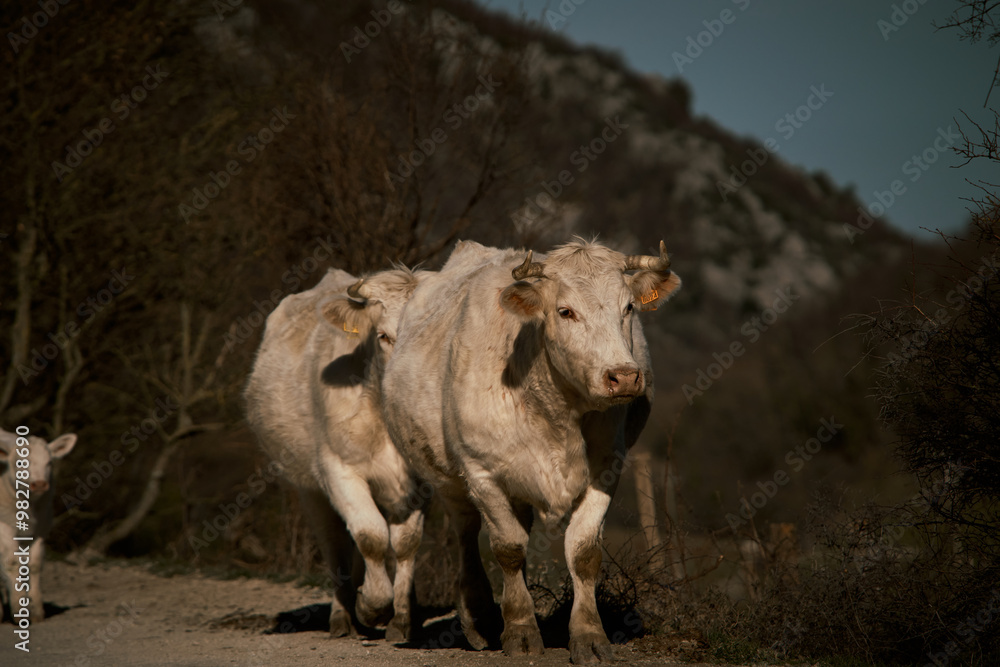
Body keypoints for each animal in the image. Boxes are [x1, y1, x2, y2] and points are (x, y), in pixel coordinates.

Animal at [0, 428, 77, 621]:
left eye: (49, 463)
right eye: (20, 462)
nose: (40, 484)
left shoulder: (41, 529)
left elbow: (34, 565)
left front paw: (35, 611)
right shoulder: (3, 526)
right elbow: (12, 562)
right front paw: (18, 610)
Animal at [244, 265, 431, 640]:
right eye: (384, 336)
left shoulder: (419, 481)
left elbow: (406, 542)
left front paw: (402, 619)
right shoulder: (339, 471)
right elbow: (371, 537)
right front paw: (372, 606)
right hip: (311, 489)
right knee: (337, 546)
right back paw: (342, 617)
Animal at [382, 238, 681, 663]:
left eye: (628, 308)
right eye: (565, 311)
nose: (623, 377)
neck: (556, 413)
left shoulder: (607, 468)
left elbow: (583, 551)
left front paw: (589, 636)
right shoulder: (482, 473)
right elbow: (507, 549)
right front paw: (521, 630)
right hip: (449, 481)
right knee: (467, 534)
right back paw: (480, 619)